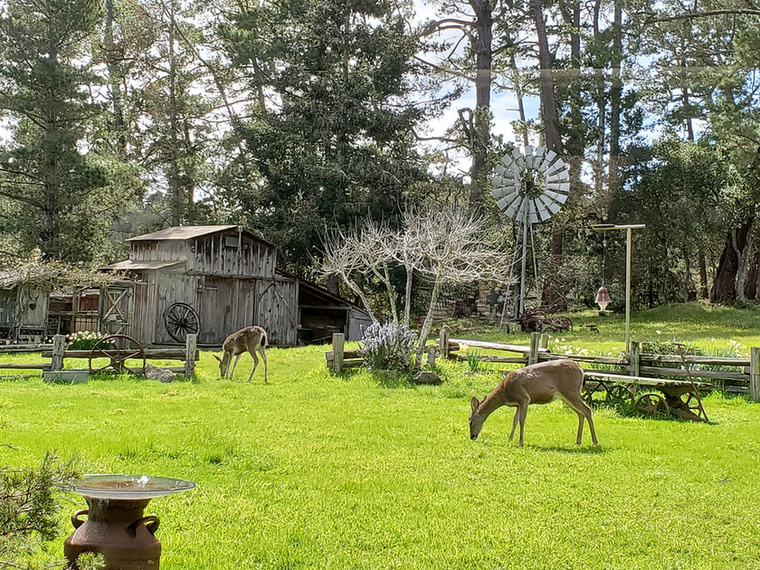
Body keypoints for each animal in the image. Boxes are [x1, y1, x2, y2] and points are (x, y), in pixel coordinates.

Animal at [466, 358, 596, 446]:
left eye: (470, 421)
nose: (472, 437)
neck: (504, 393)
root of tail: (581, 369)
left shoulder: (524, 398)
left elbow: (522, 421)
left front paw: (520, 442)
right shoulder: (517, 404)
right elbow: (514, 421)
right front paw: (510, 439)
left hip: (570, 391)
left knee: (587, 410)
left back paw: (594, 441)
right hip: (565, 397)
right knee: (580, 413)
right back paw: (578, 441)